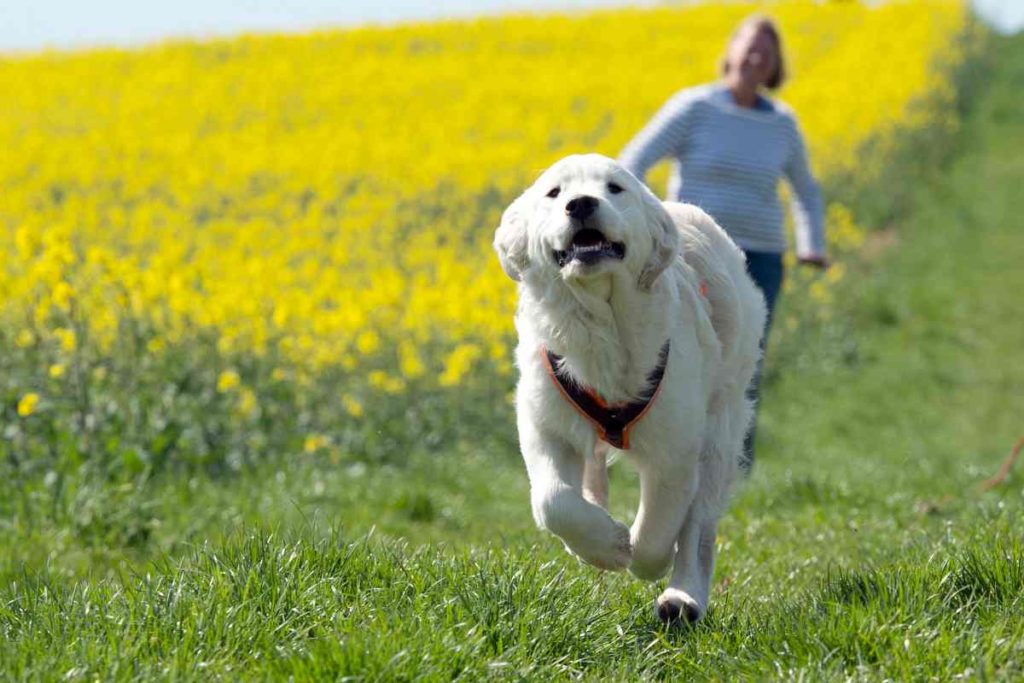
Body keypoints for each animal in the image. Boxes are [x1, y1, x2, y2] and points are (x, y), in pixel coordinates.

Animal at [491, 152, 765, 622]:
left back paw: (681, 599)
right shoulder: (545, 421)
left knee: (698, 529)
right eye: (554, 192)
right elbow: (553, 500)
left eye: (614, 188)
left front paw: (635, 553)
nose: (581, 204)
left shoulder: (676, 444)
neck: (603, 323)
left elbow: (658, 526)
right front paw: (606, 545)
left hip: (721, 428)